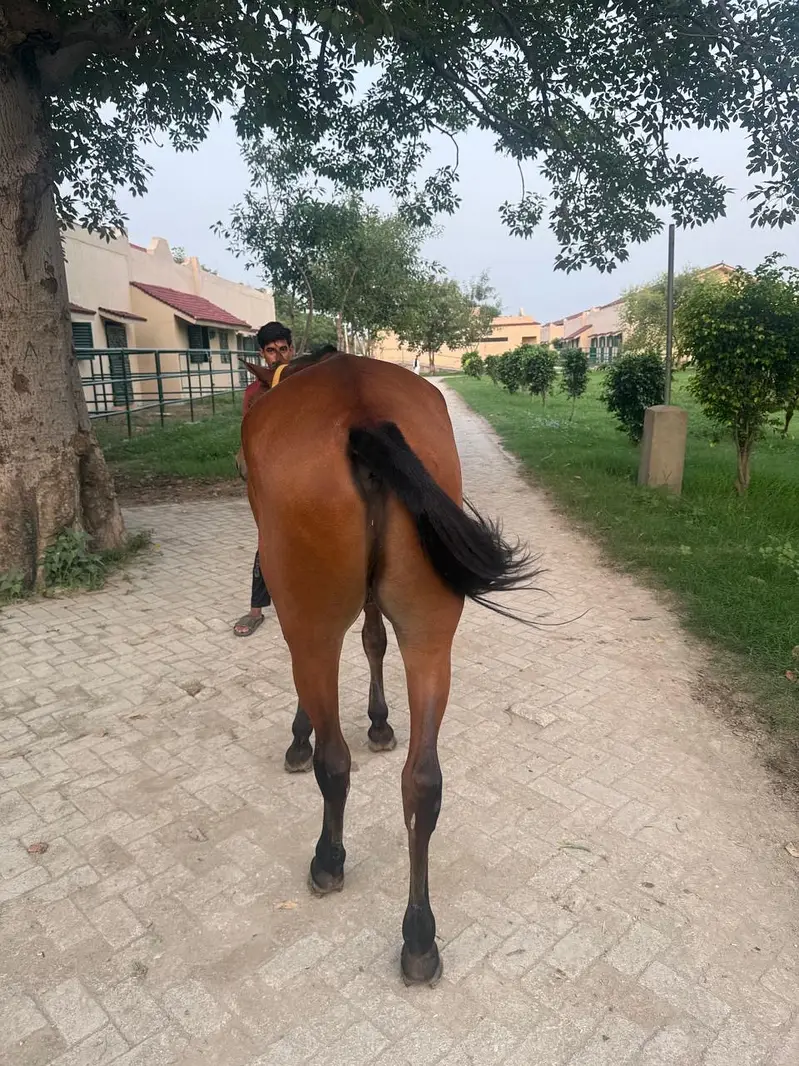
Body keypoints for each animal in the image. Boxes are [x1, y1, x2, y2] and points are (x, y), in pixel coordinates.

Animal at [241, 350, 533, 985]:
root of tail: (363, 415)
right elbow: (375, 638)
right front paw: (380, 720)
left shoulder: (299, 619)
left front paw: (301, 734)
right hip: (429, 635)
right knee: (423, 782)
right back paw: (419, 935)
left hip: (312, 620)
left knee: (334, 761)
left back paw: (328, 858)